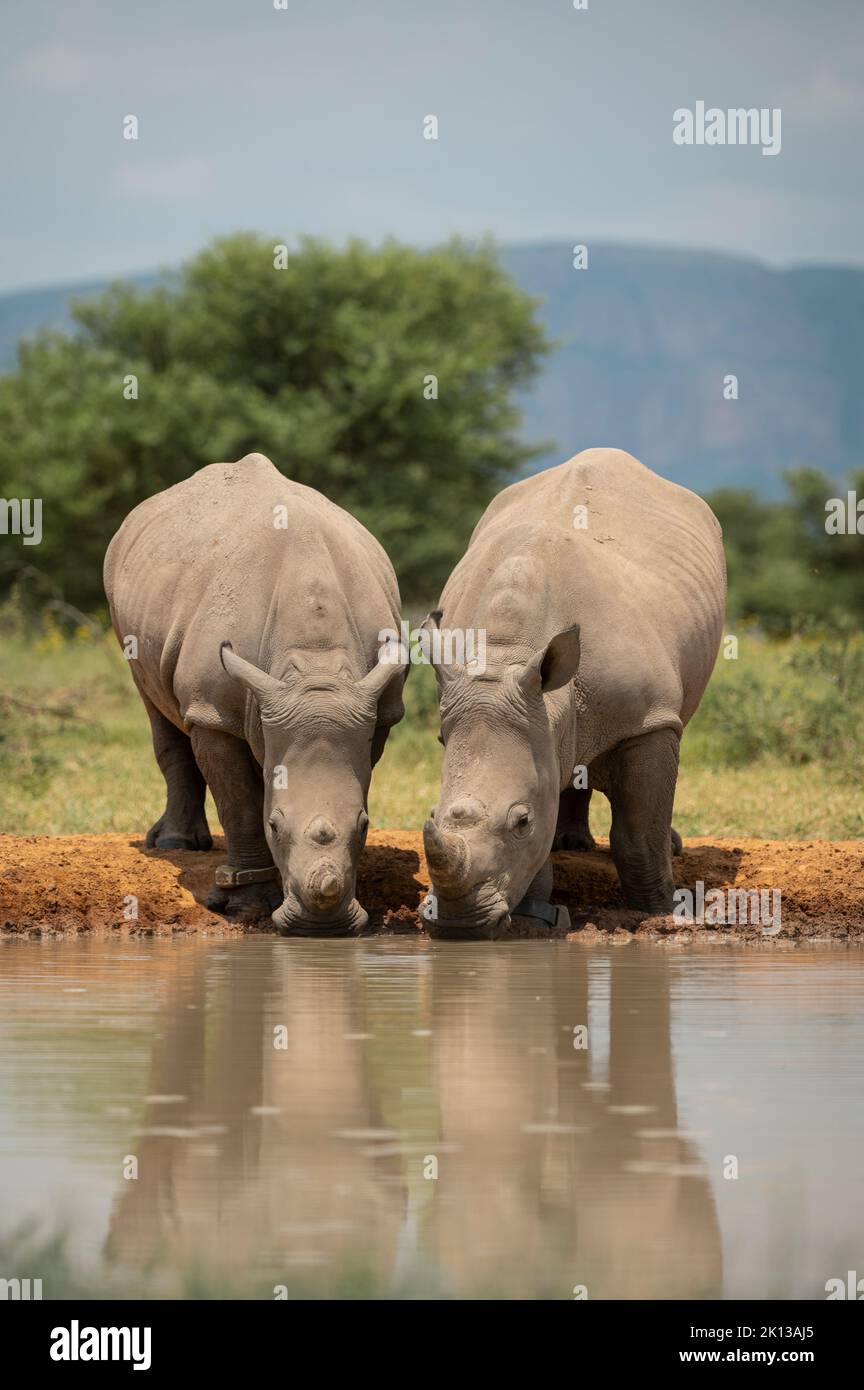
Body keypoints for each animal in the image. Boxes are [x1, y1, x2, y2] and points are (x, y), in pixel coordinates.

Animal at [104, 455, 408, 934]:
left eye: (365, 826)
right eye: (274, 826)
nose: (322, 925)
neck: (313, 669)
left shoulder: (377, 708)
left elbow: (351, 777)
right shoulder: (214, 712)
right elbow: (239, 804)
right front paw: (247, 907)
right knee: (156, 705)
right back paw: (174, 845)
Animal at [422, 450, 727, 939]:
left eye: (521, 821)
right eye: (432, 814)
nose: (458, 925)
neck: (506, 654)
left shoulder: (647, 721)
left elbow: (639, 833)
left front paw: (661, 909)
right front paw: (534, 912)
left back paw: (668, 847)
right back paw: (572, 843)